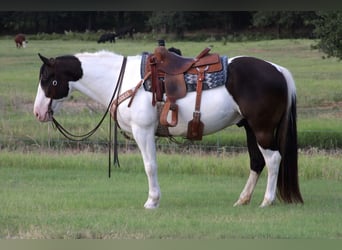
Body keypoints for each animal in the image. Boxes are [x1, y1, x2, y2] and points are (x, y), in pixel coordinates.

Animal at [33, 44, 304, 207]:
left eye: (48, 79)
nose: (38, 112)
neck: (123, 80)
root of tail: (279, 71)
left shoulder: (143, 131)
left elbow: (150, 166)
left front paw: (152, 201)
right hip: (249, 127)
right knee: (257, 162)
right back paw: (242, 200)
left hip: (262, 129)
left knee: (273, 159)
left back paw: (267, 201)